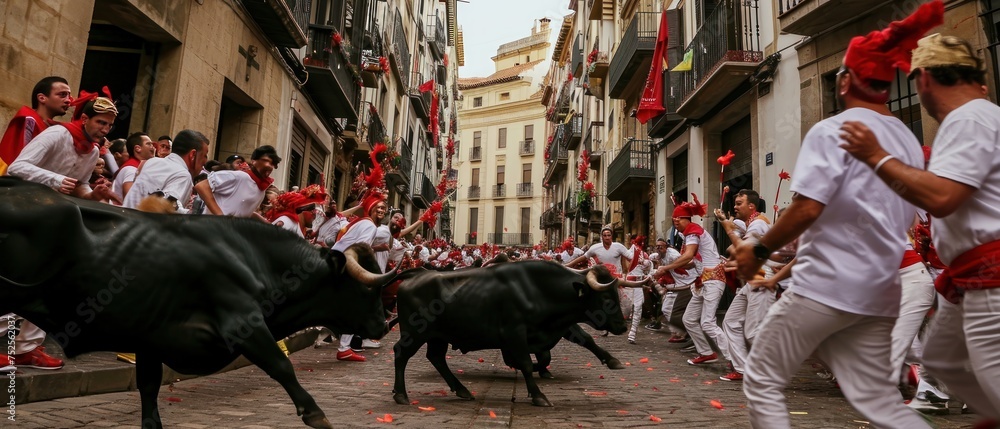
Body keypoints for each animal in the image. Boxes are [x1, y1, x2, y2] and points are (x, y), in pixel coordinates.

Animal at [0, 176, 396, 428]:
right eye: (367, 290)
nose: (383, 324)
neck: (253, 256)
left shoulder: (150, 340)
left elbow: (149, 393)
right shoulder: (243, 322)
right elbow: (281, 365)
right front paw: (317, 414)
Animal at [386, 260, 636, 404]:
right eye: (606, 298)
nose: (622, 326)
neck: (537, 288)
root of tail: (415, 275)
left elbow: (580, 341)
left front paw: (612, 360)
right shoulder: (514, 333)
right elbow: (525, 363)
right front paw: (538, 395)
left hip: (439, 336)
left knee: (436, 358)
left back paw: (462, 390)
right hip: (415, 332)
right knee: (401, 353)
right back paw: (401, 394)